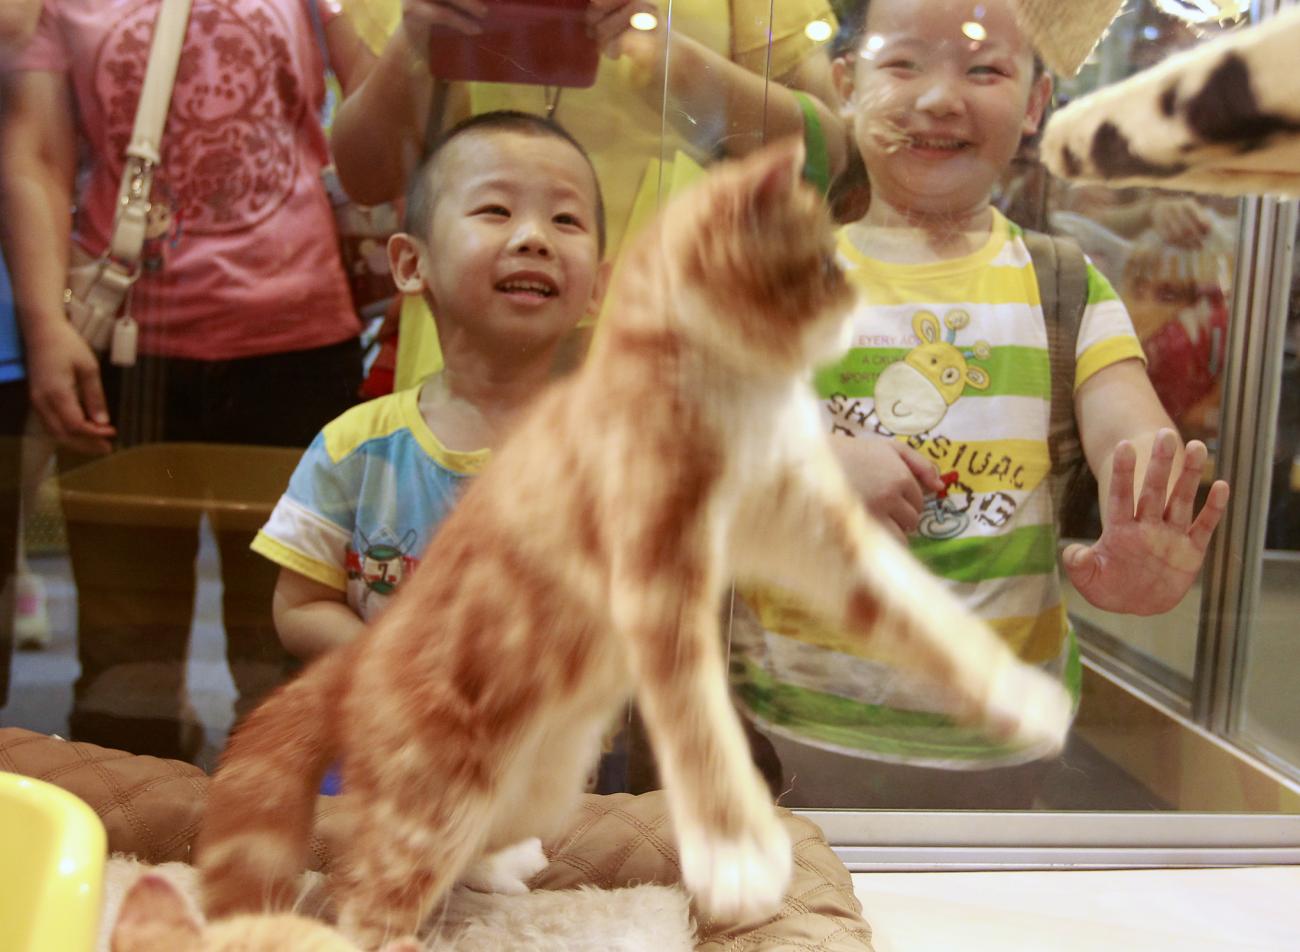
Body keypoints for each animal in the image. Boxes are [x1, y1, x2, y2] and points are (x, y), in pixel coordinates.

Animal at [195, 139, 1066, 946]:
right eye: (820, 261)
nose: (855, 293)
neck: (736, 394)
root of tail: (361, 658)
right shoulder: (656, 583)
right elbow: (703, 731)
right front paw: (737, 857)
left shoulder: (821, 537)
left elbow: (923, 615)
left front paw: (1020, 695)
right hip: (437, 791)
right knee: (364, 895)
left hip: (542, 782)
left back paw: (502, 866)